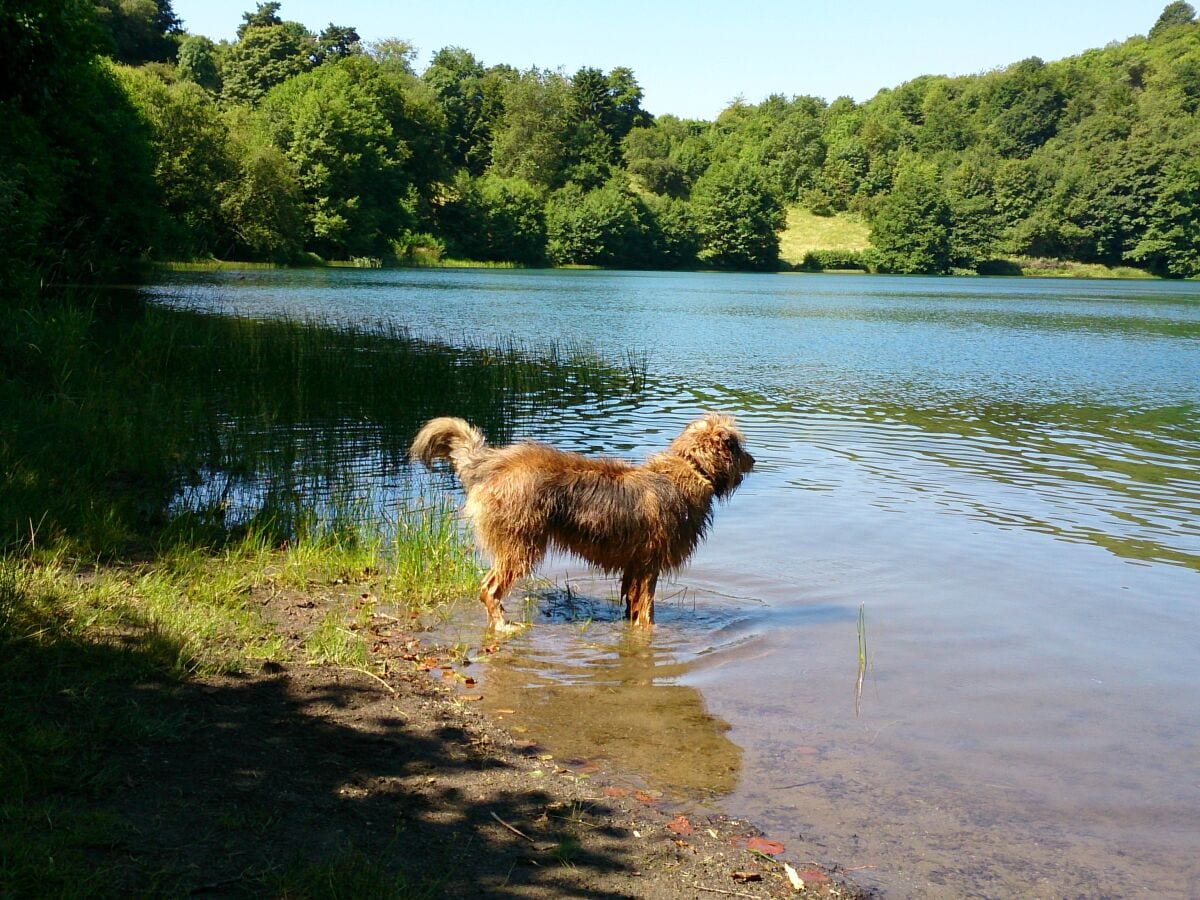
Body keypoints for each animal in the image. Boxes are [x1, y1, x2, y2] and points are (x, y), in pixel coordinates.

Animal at [410, 417, 748, 633]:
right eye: (739, 447)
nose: (753, 460)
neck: (691, 469)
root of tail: (492, 464)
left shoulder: (634, 565)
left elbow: (632, 601)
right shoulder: (649, 565)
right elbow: (646, 606)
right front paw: (648, 631)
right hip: (519, 544)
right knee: (488, 588)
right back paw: (504, 624)